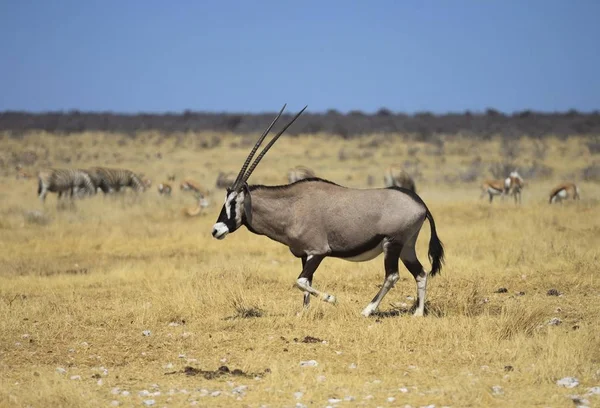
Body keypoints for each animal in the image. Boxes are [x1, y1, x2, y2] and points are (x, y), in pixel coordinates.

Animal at [210, 104, 440, 316]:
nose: (216, 230)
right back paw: (418, 313)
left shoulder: (318, 251)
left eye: (233, 202)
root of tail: (421, 204)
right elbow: (305, 283)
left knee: (392, 276)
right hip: (406, 247)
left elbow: (301, 281)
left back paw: (367, 310)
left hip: (392, 244)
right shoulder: (305, 254)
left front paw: (332, 298)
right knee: (420, 273)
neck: (292, 207)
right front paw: (304, 313)